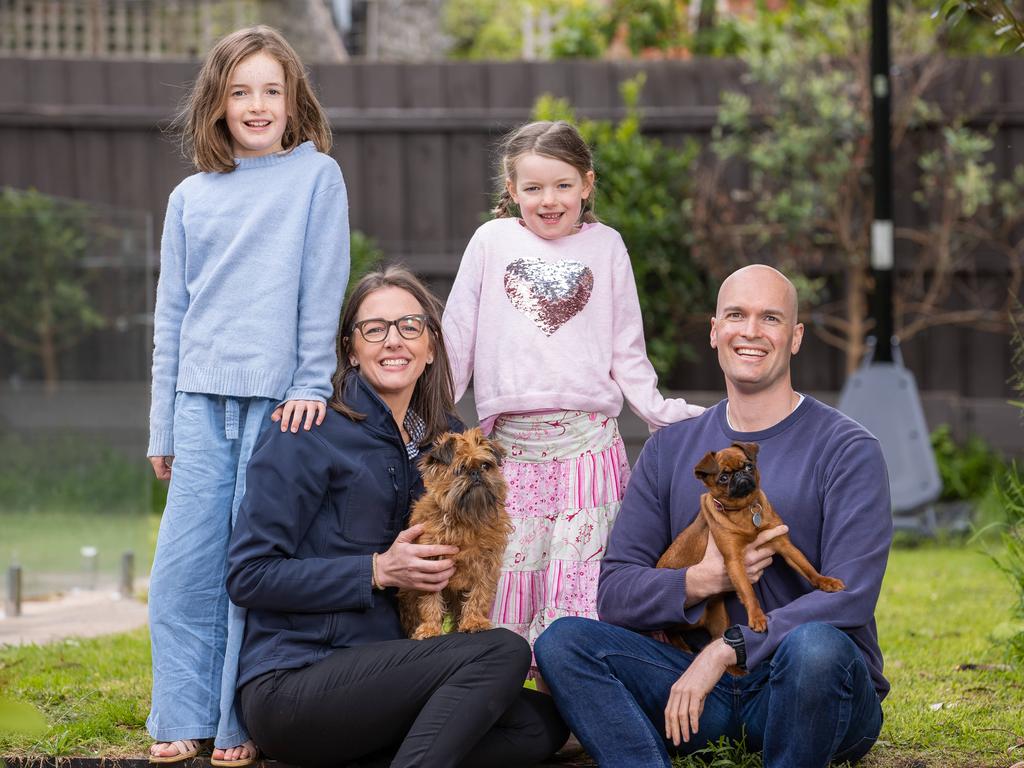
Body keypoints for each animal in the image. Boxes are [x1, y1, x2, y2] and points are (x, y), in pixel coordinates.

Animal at [397, 430, 512, 638]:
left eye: (486, 466)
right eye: (461, 469)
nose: (476, 473)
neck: (466, 518)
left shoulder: (487, 565)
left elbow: (479, 594)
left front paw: (474, 621)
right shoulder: (429, 567)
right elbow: (430, 600)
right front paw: (429, 628)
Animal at [659, 442, 843, 647]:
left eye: (748, 466)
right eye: (723, 478)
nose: (740, 475)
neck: (744, 509)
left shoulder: (784, 545)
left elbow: (807, 567)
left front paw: (825, 581)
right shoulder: (734, 561)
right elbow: (748, 591)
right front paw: (757, 617)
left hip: (719, 621)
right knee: (672, 632)